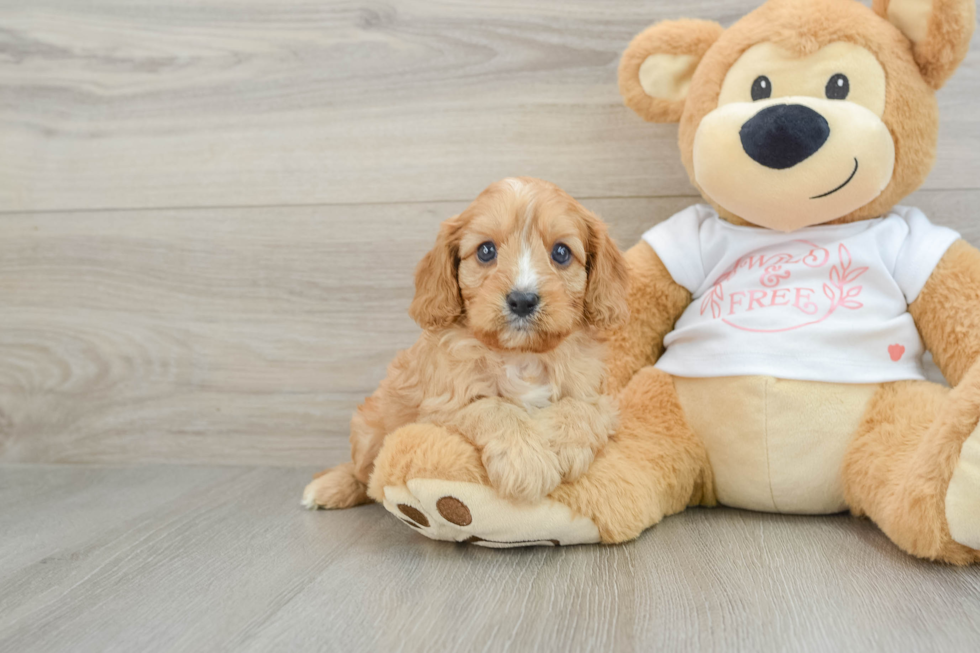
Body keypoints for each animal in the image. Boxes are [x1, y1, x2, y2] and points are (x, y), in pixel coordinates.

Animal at [302, 177, 632, 510]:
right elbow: (492, 407)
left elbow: (583, 407)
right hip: (369, 428)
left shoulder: (600, 395)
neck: (520, 355)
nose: (522, 300)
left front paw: (562, 444)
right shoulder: (441, 406)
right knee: (364, 473)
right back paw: (330, 487)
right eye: (486, 250)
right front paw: (526, 461)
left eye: (562, 253)